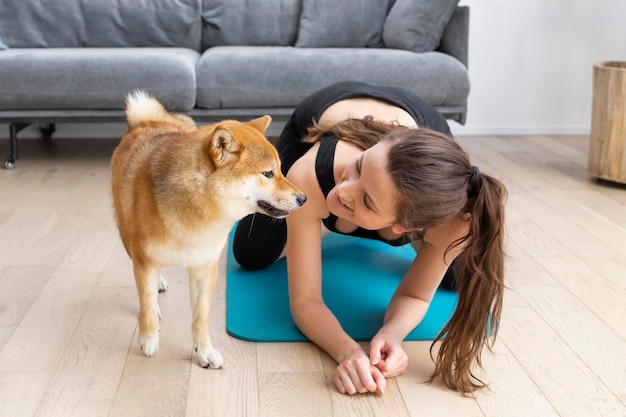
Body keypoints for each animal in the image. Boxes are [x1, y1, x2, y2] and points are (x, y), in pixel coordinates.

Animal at [112, 92, 308, 368]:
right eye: (268, 173)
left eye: (280, 170)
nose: (303, 198)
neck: (199, 214)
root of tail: (147, 122)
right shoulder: (144, 260)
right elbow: (147, 305)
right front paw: (149, 339)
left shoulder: (205, 268)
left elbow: (200, 318)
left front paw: (204, 351)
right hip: (128, 237)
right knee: (146, 291)